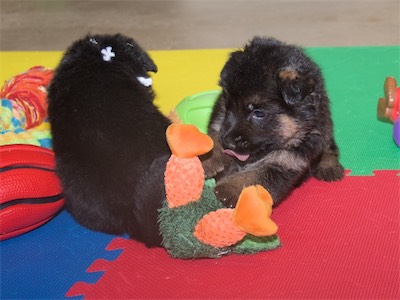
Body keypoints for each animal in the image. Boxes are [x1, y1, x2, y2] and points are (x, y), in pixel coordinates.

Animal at [203, 36, 344, 207]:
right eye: (228, 105)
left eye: (258, 113)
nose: (228, 142)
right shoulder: (219, 123)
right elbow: (214, 137)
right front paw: (205, 159)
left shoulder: (288, 161)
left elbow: (258, 176)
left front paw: (228, 191)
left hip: (325, 127)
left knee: (329, 145)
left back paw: (329, 165)